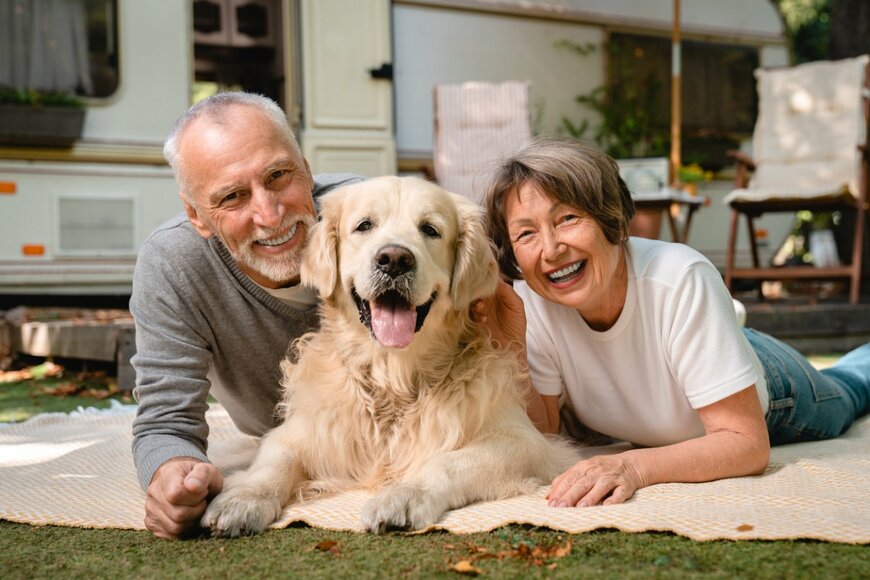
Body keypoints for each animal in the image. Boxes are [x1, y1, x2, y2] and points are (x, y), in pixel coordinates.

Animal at [203, 176, 580, 536]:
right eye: (364, 225)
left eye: (430, 229)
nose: (395, 260)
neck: (393, 380)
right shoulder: (300, 433)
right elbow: (274, 462)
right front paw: (243, 499)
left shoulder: (529, 444)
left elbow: (446, 461)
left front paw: (404, 495)